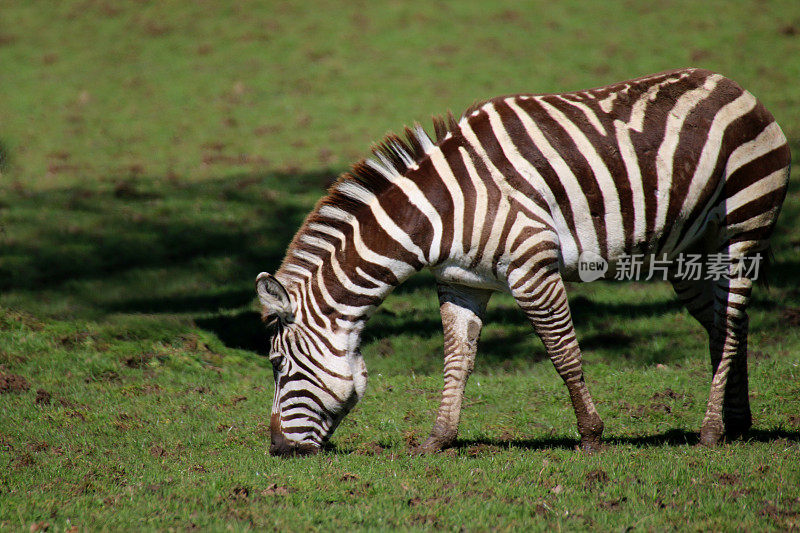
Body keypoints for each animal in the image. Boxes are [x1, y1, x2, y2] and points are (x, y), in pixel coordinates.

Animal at [260, 68, 792, 456]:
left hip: (746, 220)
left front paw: (591, 435)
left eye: (277, 365)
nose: (277, 448)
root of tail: (732, 85)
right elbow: (457, 359)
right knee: (726, 321)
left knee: (733, 317)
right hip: (692, 250)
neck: (443, 211)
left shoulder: (533, 268)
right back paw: (736, 422)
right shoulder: (461, 282)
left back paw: (711, 431)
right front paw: (437, 439)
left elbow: (563, 352)